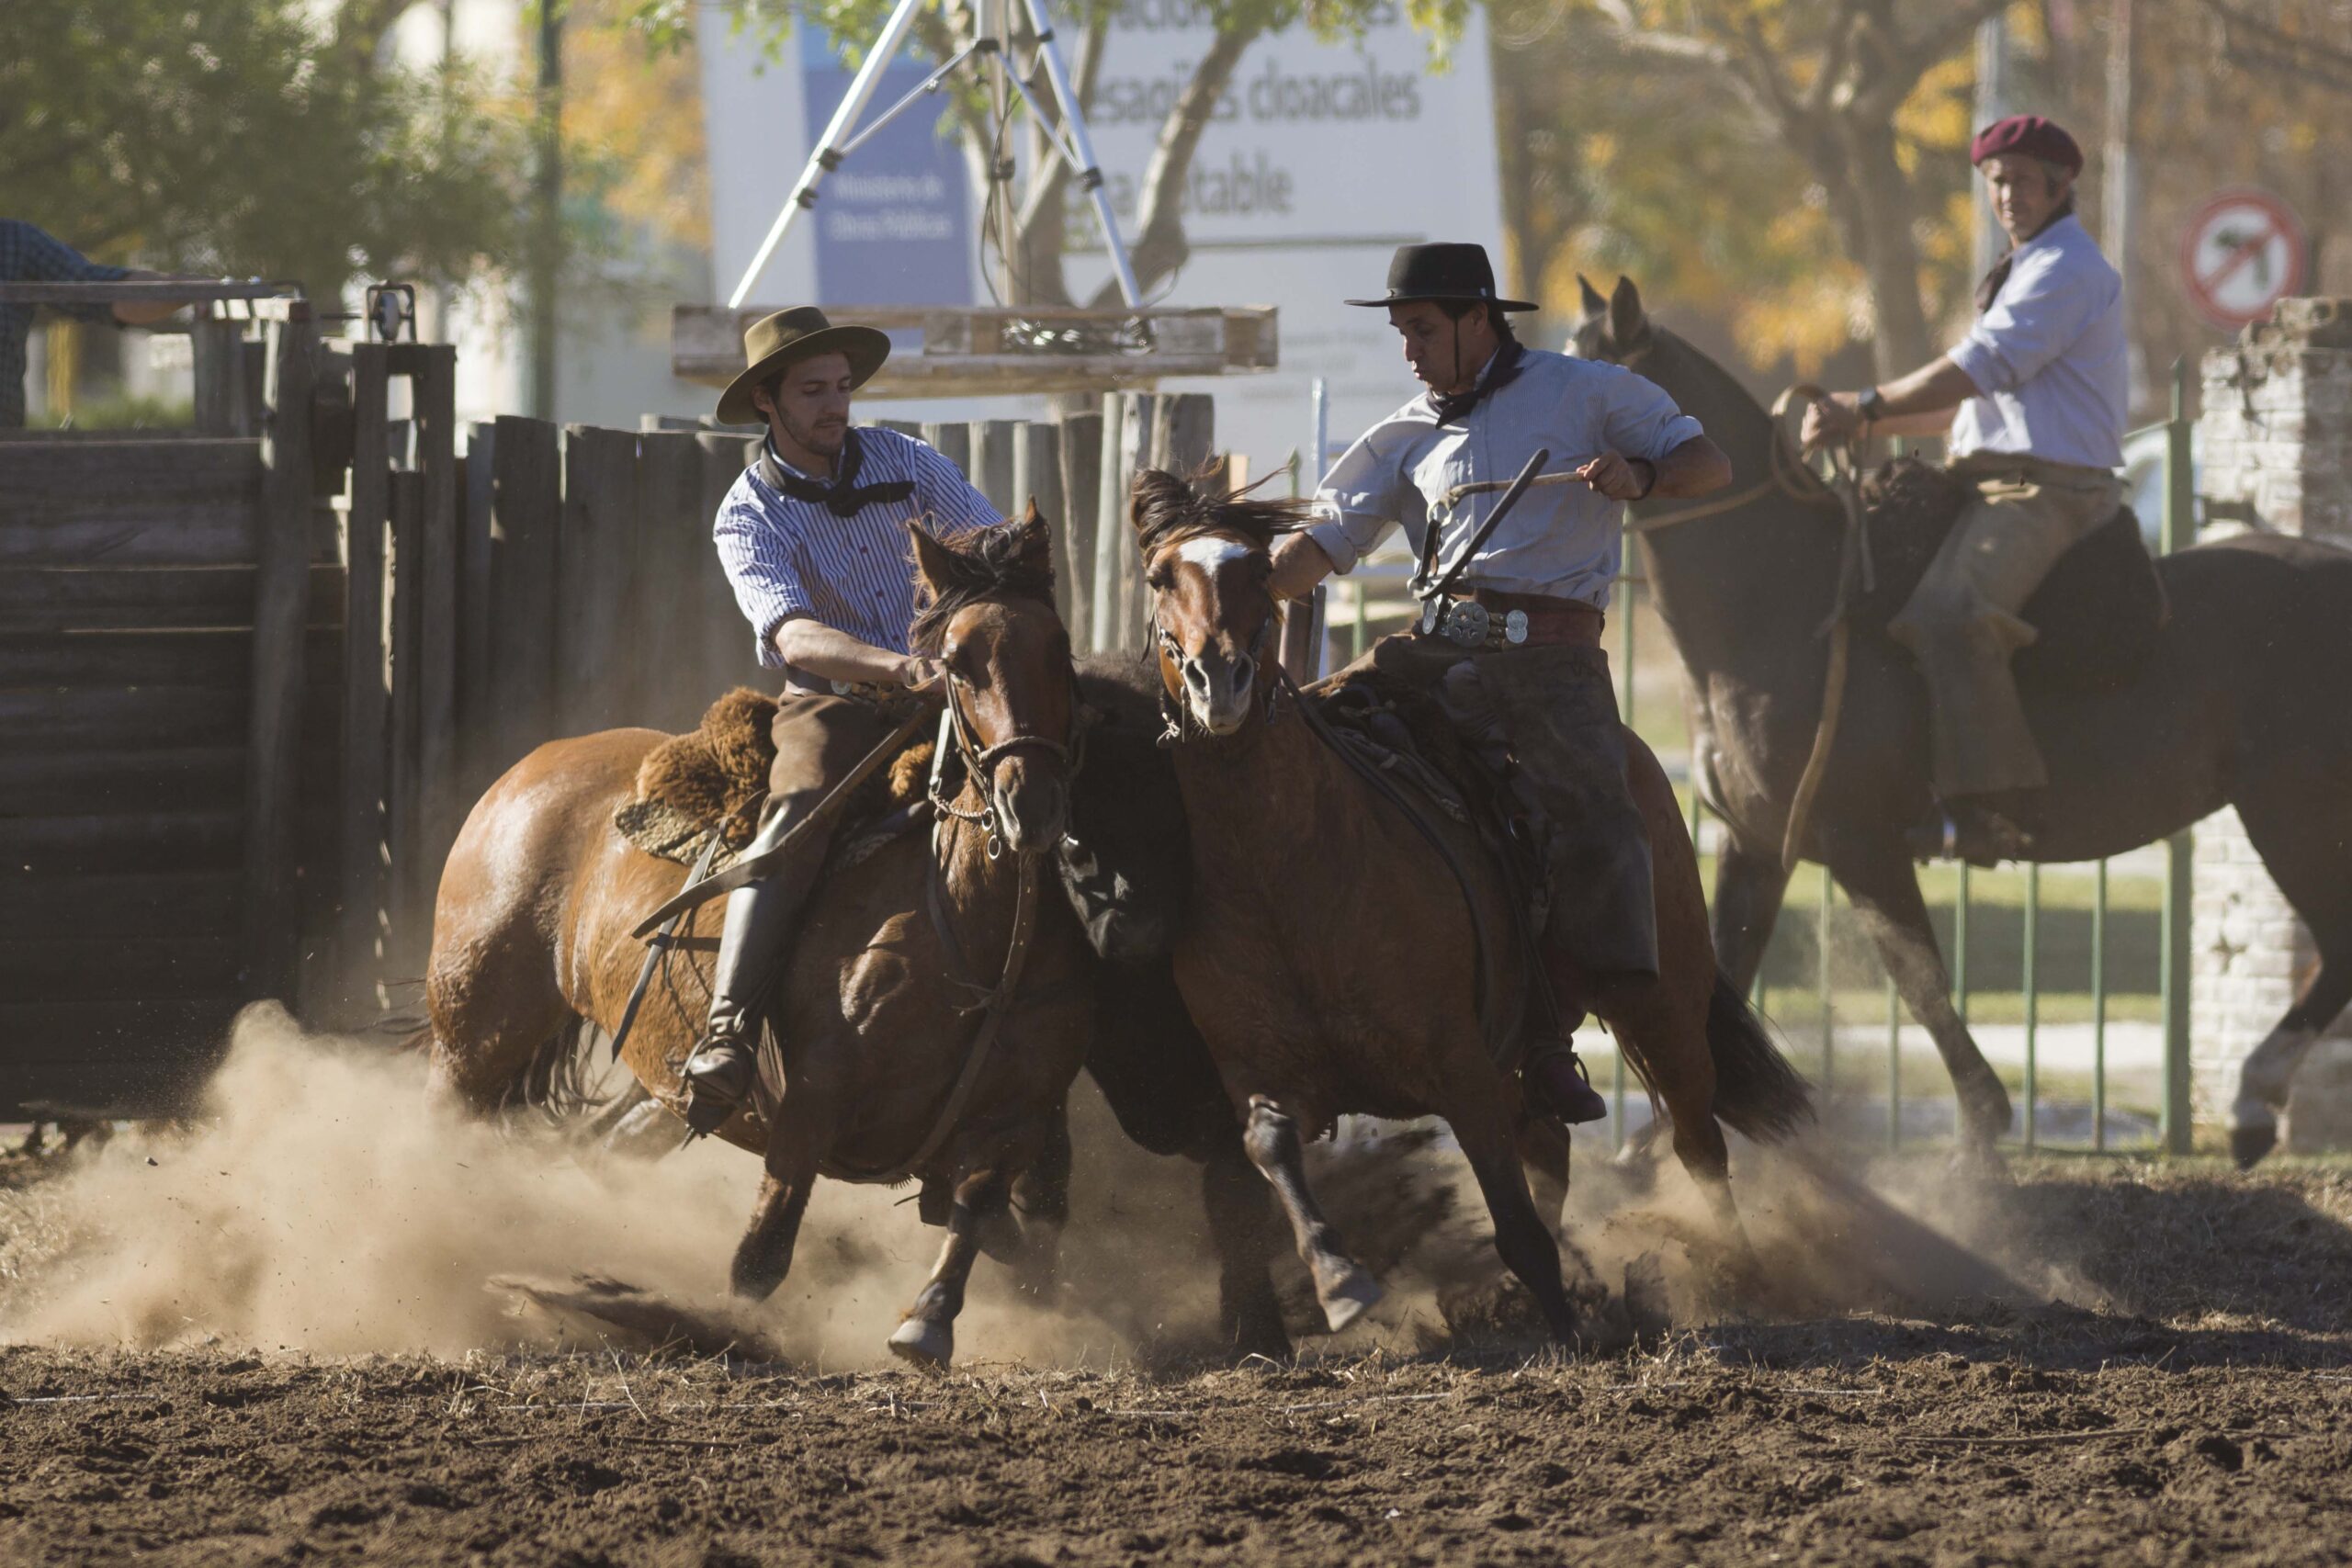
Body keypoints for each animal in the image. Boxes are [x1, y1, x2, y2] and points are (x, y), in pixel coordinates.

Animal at [425, 514, 1101, 1363]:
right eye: (956, 662)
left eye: (1057, 645)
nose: (1030, 804)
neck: (974, 929)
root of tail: (526, 771)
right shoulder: (808, 1103)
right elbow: (761, 1257)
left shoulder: (1014, 1112)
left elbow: (976, 1210)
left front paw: (928, 1318)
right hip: (475, 1025)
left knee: (597, 1146)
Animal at [1128, 472, 1806, 1344]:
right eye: (1159, 578)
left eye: (1259, 571)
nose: (1221, 680)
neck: (1285, 872)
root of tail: (1638, 756)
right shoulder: (1261, 1072)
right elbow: (1270, 1144)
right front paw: (1340, 1278)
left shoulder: (1460, 1064)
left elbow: (1515, 1221)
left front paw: (1566, 1328)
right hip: (1531, 1046)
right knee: (1552, 1141)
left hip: (1663, 1008)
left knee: (1697, 1141)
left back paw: (1738, 1275)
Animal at [1571, 278, 2352, 1166]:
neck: (1780, 608)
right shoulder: (1758, 843)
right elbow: (1715, 975)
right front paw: (1654, 1144)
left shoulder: (1861, 843)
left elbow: (1919, 980)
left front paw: (1981, 1126)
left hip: (2293, 815)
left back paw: (2254, 1099)